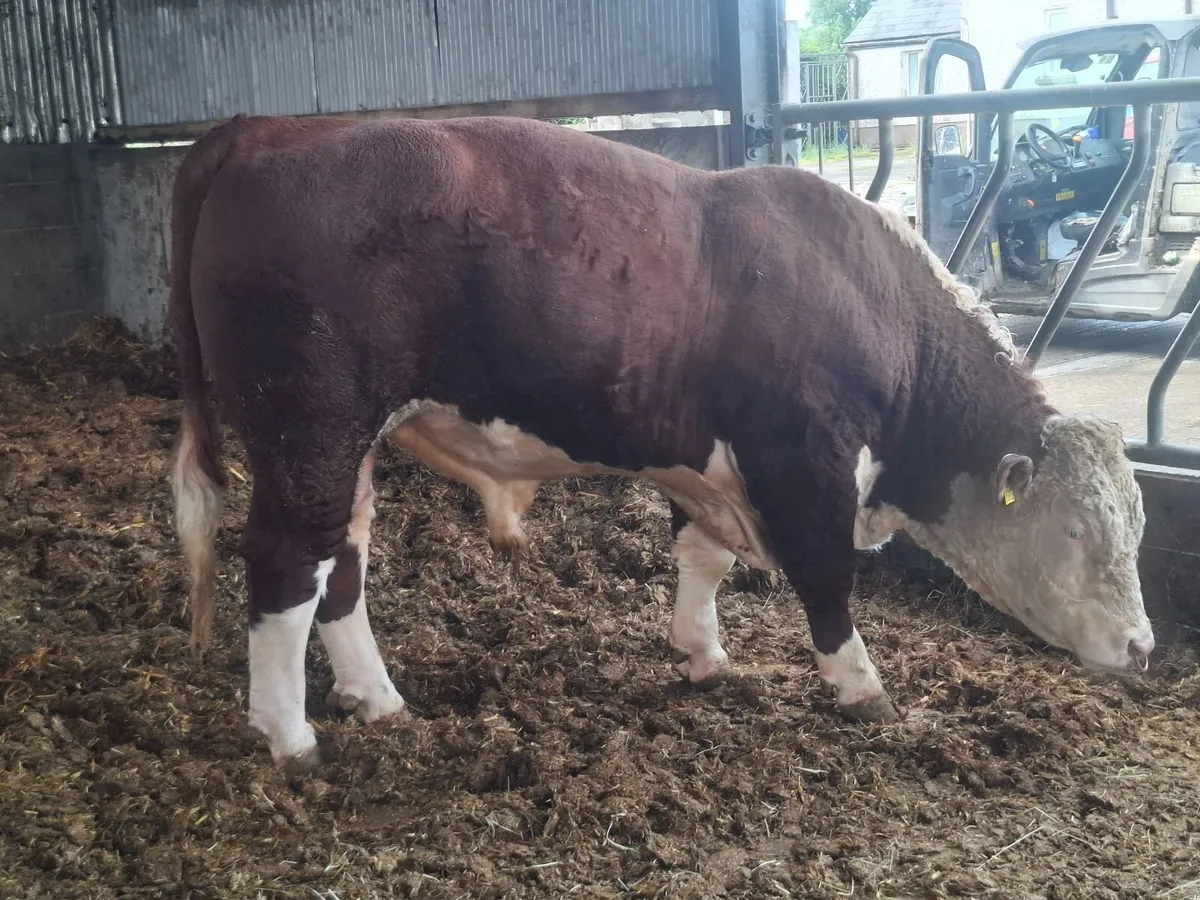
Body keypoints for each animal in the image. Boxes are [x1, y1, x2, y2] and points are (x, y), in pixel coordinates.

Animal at [168, 113, 1153, 769]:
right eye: (1074, 529)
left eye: (1137, 526)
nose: (1144, 648)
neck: (872, 299)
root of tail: (265, 129)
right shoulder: (803, 461)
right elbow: (827, 579)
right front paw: (860, 687)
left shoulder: (706, 464)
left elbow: (701, 558)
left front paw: (702, 653)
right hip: (309, 430)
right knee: (286, 562)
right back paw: (291, 735)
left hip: (349, 446)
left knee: (344, 559)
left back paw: (376, 700)